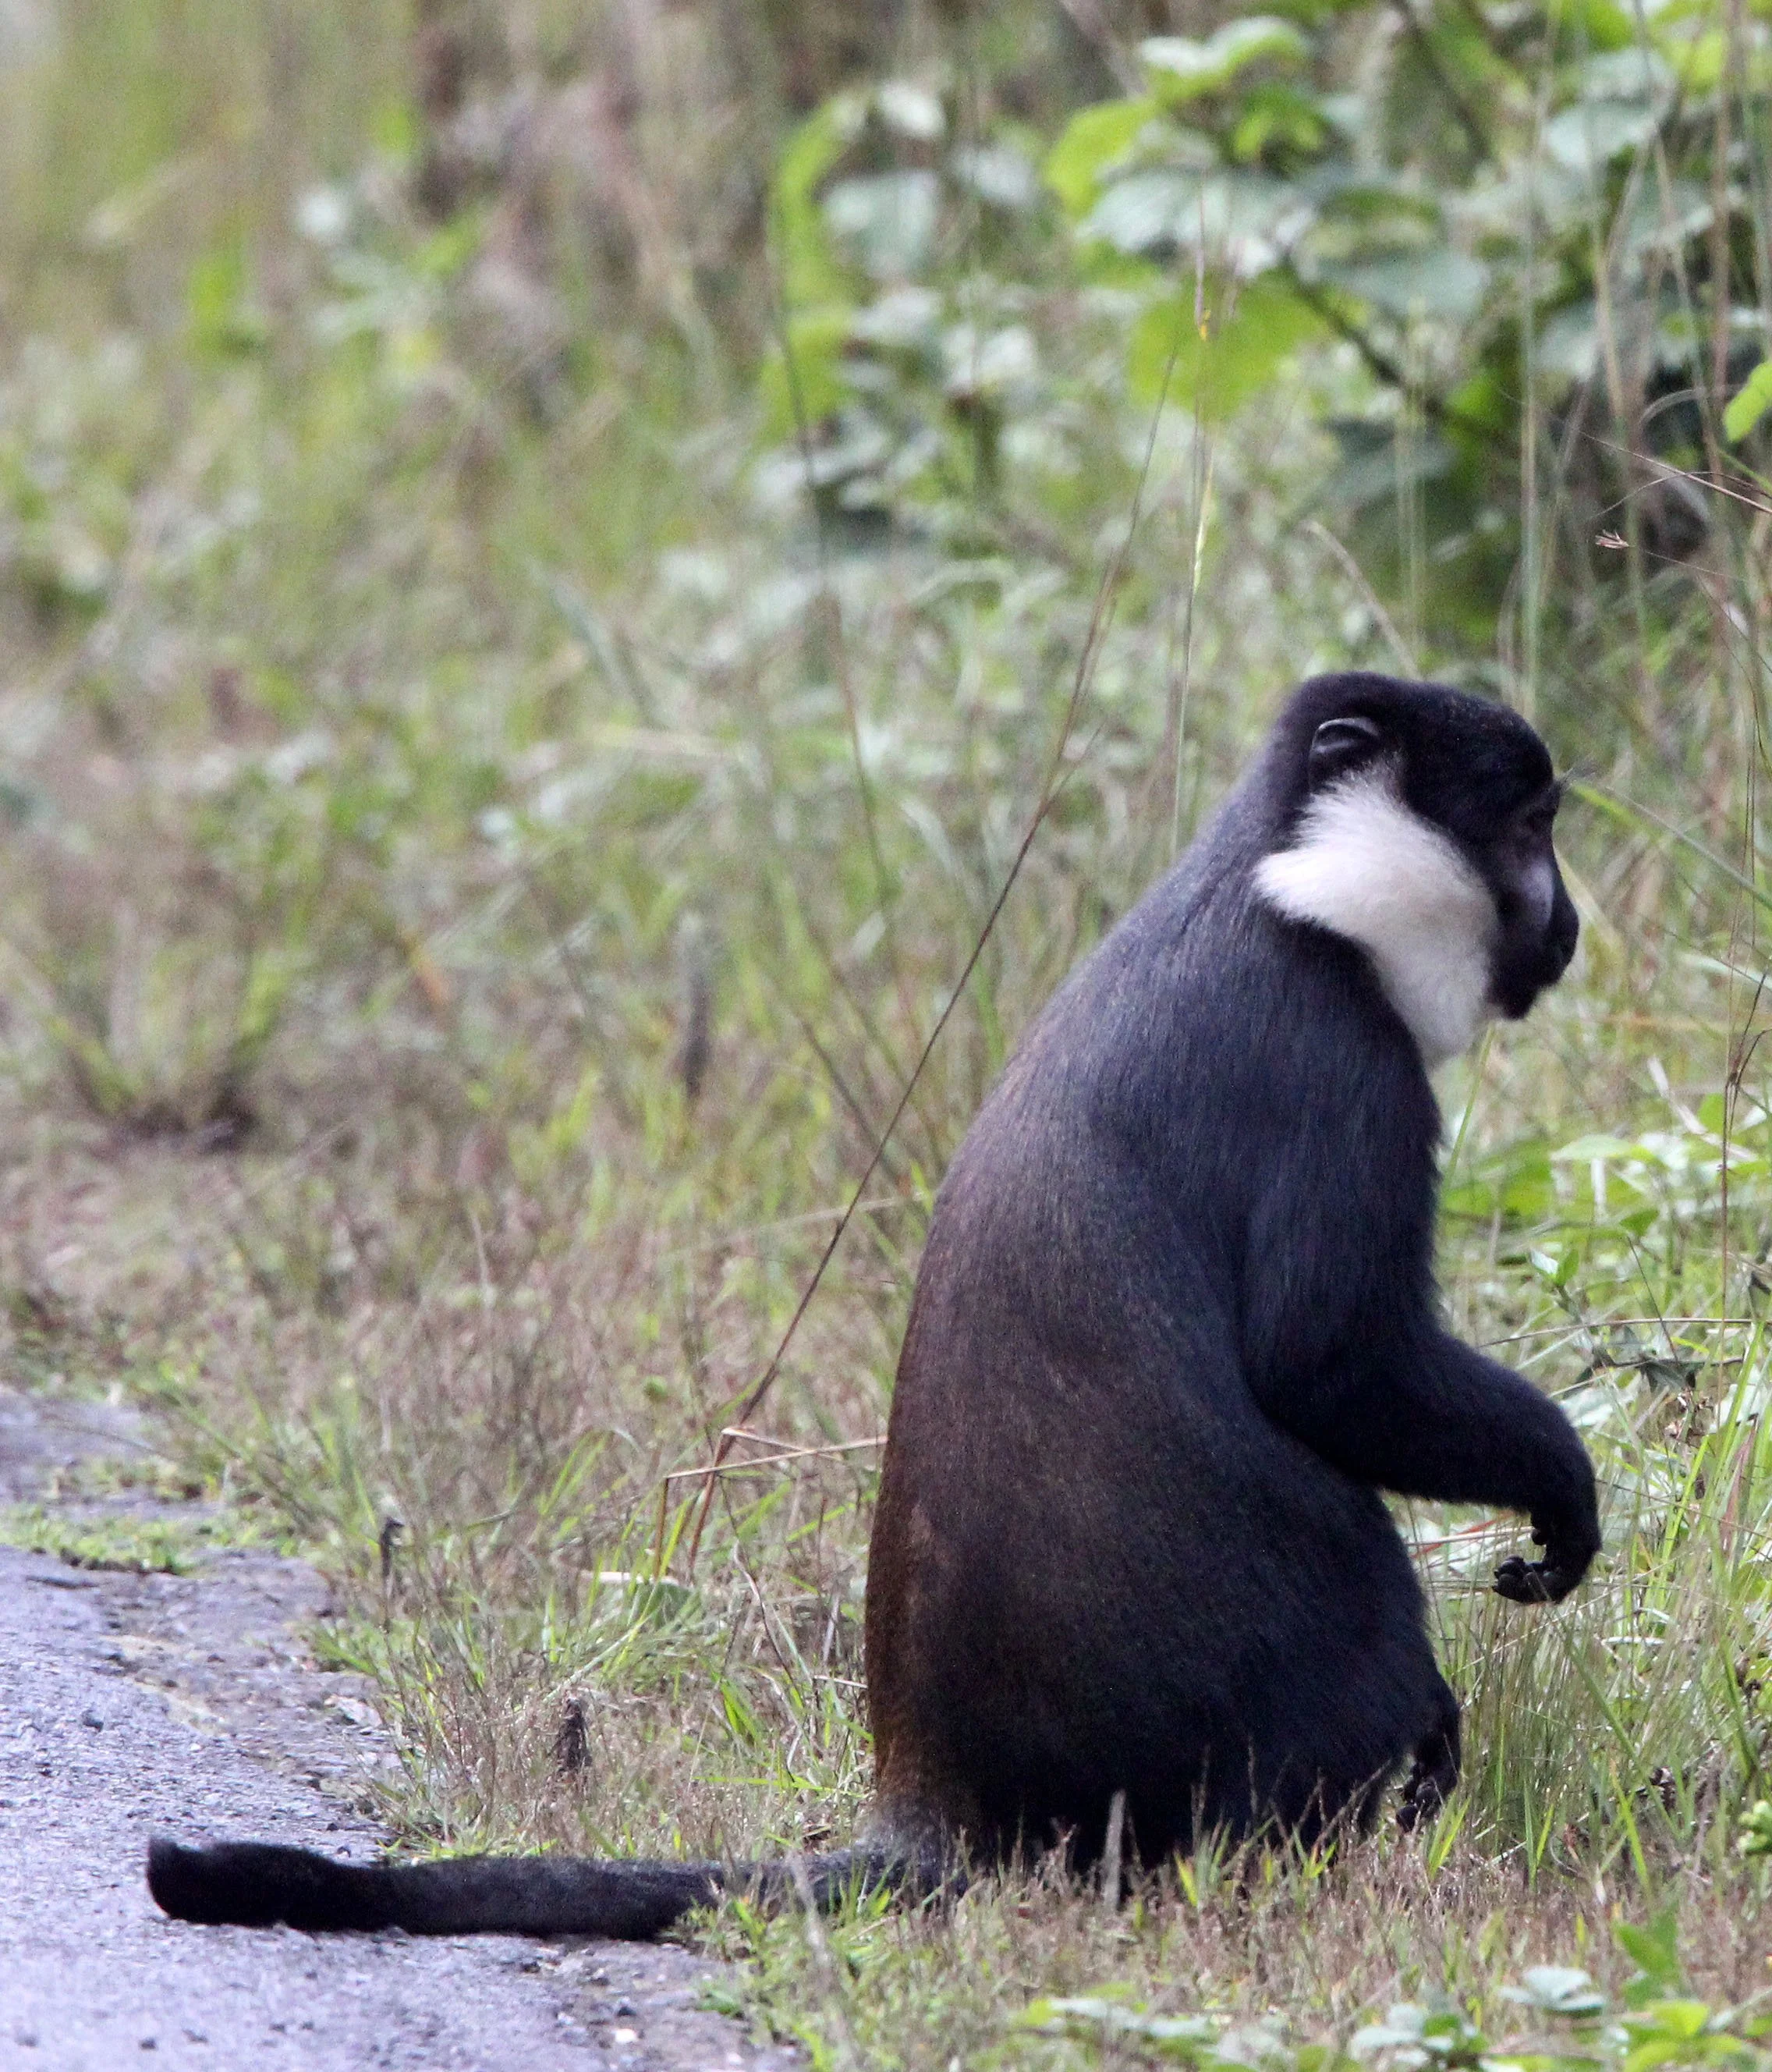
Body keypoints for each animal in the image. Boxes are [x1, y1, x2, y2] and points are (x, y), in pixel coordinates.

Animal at [147, 672, 1599, 1936]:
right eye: (1527, 827)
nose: (1569, 922)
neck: (1287, 893)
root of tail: (941, 1807)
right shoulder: (1339, 1065)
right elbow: (1331, 1360)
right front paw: (1561, 1489)